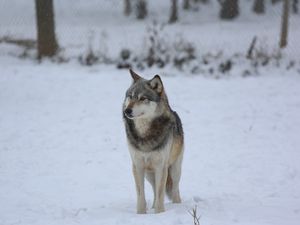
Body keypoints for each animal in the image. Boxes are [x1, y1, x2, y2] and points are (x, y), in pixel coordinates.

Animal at [122, 69, 184, 214]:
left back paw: (177, 205)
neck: (145, 134)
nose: (127, 110)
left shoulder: (161, 166)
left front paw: (160, 213)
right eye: (130, 96)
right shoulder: (138, 165)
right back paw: (153, 207)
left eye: (142, 98)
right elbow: (141, 194)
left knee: (175, 190)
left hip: (174, 169)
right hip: (149, 174)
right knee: (155, 191)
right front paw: (141, 213)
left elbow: (161, 193)